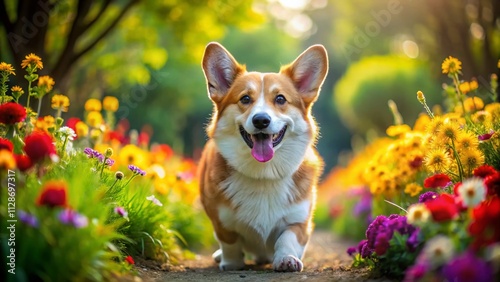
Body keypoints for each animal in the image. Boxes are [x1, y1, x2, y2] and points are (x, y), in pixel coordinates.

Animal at [199, 43, 328, 272]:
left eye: (280, 99)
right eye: (245, 99)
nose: (261, 120)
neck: (264, 174)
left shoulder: (300, 221)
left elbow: (287, 237)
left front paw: (287, 259)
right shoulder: (220, 221)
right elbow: (229, 242)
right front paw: (231, 263)